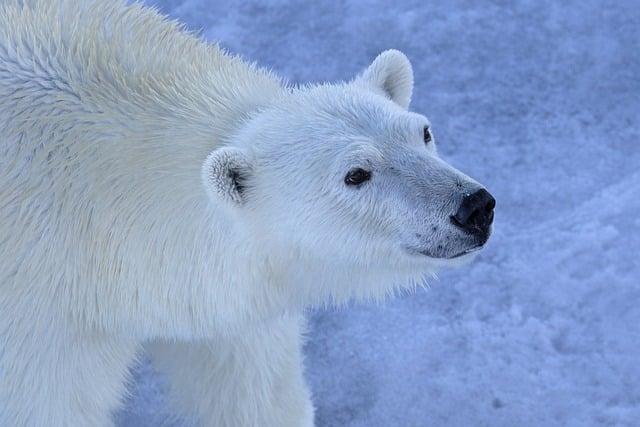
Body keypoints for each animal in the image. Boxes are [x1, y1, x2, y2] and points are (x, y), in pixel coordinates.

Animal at [0, 0, 496, 427]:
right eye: (356, 174)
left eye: (423, 133)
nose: (474, 207)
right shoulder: (40, 323)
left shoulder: (226, 297)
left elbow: (252, 390)